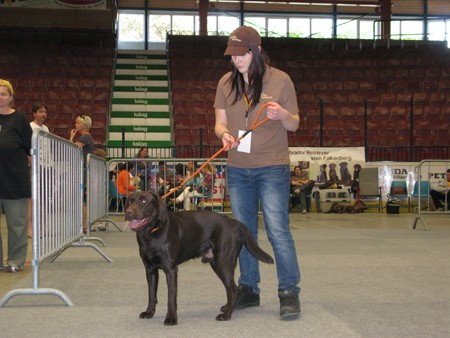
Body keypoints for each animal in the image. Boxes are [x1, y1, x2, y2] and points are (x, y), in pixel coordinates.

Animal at [124, 190, 274, 324]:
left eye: (144, 201)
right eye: (130, 201)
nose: (128, 212)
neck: (151, 233)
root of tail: (233, 221)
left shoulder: (171, 270)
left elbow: (171, 297)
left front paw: (171, 318)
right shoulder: (150, 270)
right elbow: (151, 294)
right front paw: (149, 312)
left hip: (223, 262)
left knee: (232, 289)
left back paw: (226, 315)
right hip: (216, 263)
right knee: (231, 288)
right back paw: (227, 308)